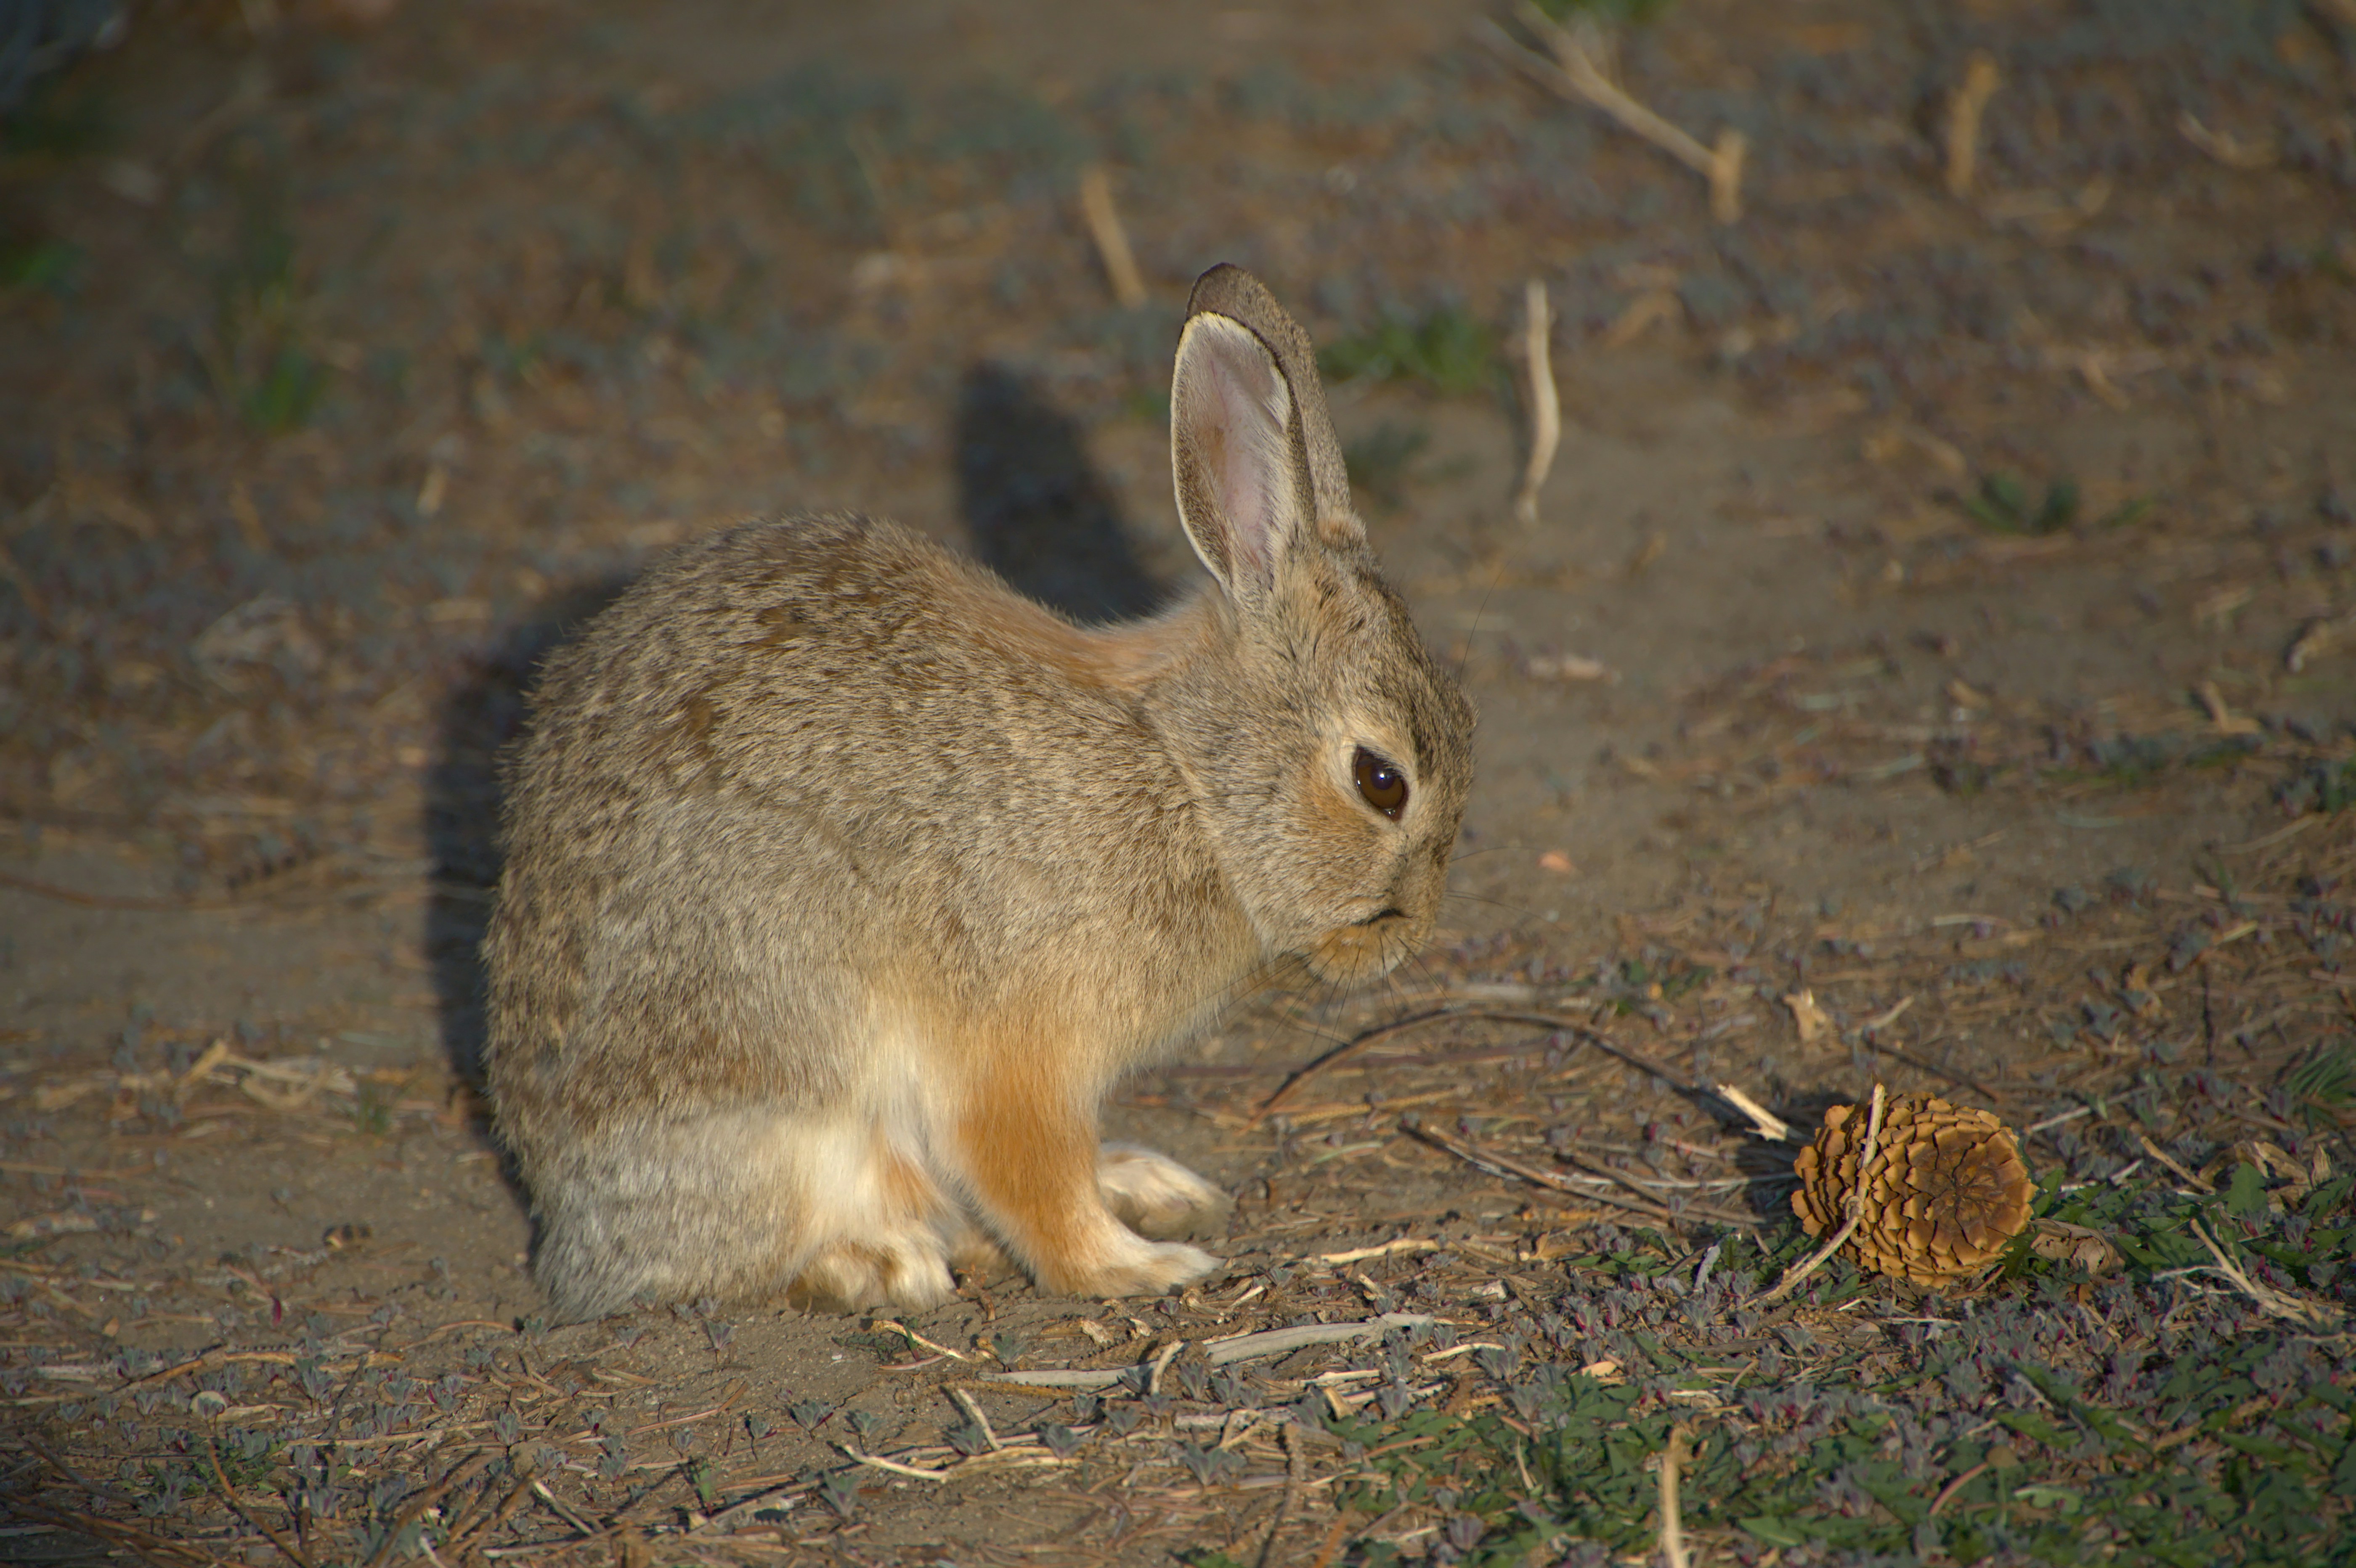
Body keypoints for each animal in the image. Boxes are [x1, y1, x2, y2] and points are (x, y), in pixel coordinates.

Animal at [482, 264, 1476, 1320]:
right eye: (1381, 781)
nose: (1405, 936)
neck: (1188, 776)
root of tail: (570, 1225)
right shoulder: (1016, 1048)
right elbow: (1033, 1175)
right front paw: (1134, 1267)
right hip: (775, 1082)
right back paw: (882, 1263)